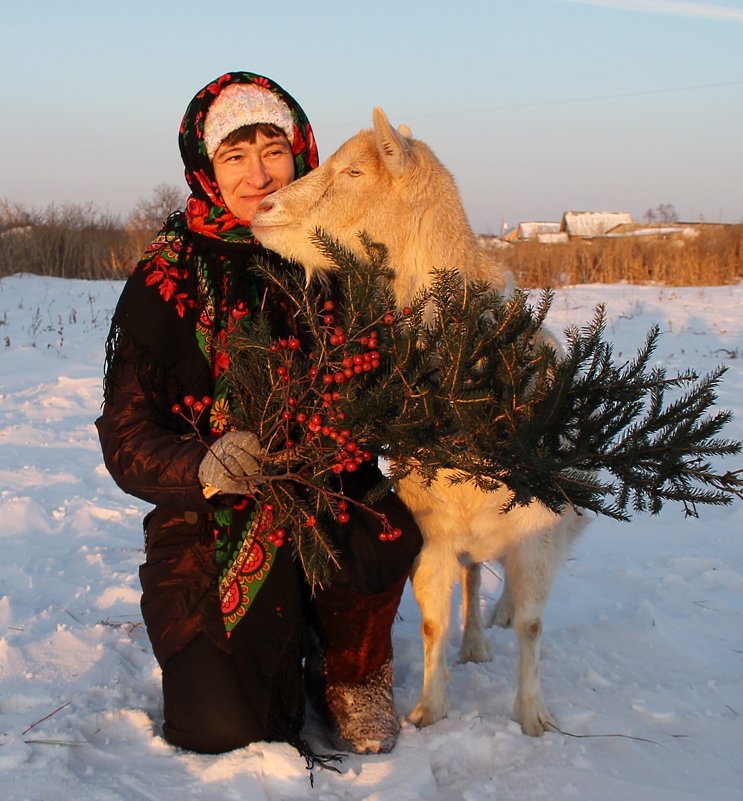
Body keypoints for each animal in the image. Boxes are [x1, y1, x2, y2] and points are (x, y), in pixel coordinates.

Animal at [253, 108, 588, 736]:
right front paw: (428, 711)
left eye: (354, 171)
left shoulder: (539, 536)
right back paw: (475, 643)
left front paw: (534, 717)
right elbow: (435, 621)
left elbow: (533, 627)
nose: (264, 208)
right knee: (473, 578)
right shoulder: (431, 534)